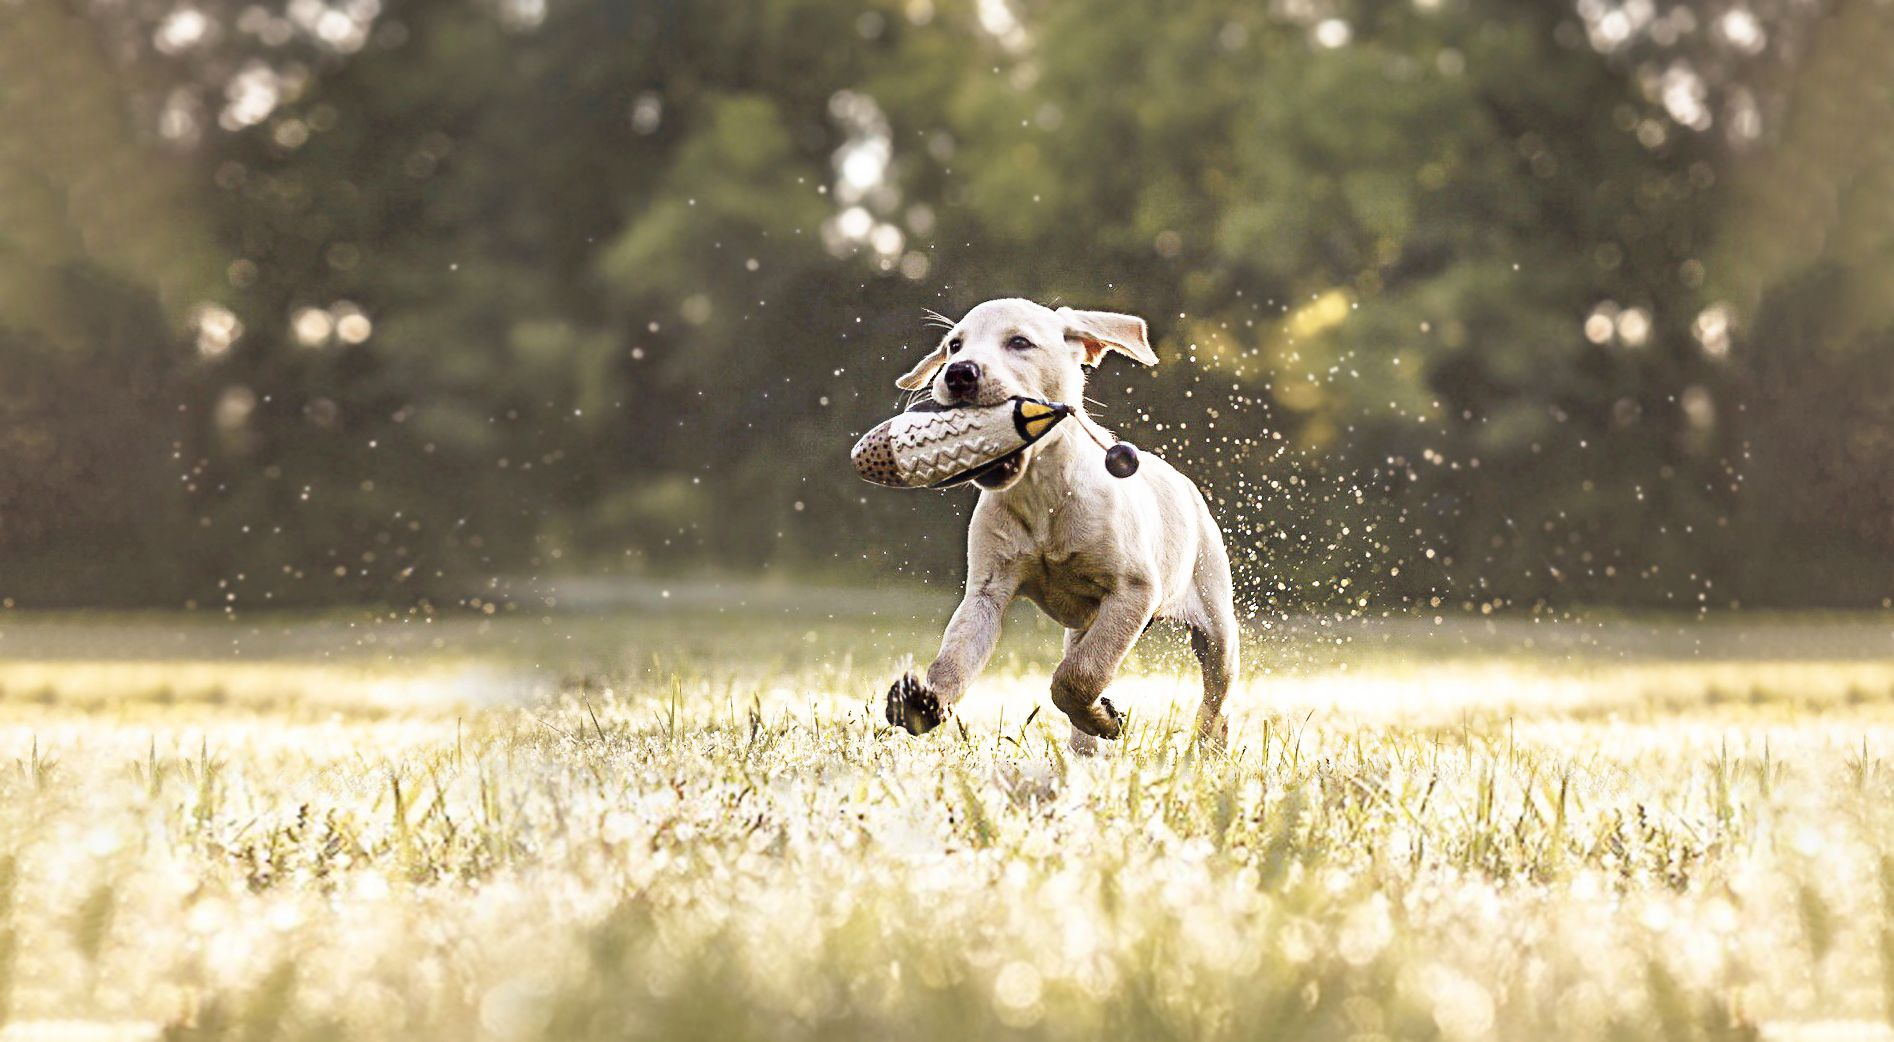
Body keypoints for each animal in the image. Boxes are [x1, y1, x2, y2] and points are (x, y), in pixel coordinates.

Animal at [886, 297, 1242, 754]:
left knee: (1217, 701)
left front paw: (1102, 719)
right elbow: (955, 659)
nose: (958, 373)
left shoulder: (1133, 592)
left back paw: (1206, 751)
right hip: (1085, 625)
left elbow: (1077, 677)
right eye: (954, 346)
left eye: (1020, 342)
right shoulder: (987, 594)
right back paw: (1083, 752)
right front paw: (924, 702)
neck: (1043, 493)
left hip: (1217, 630)